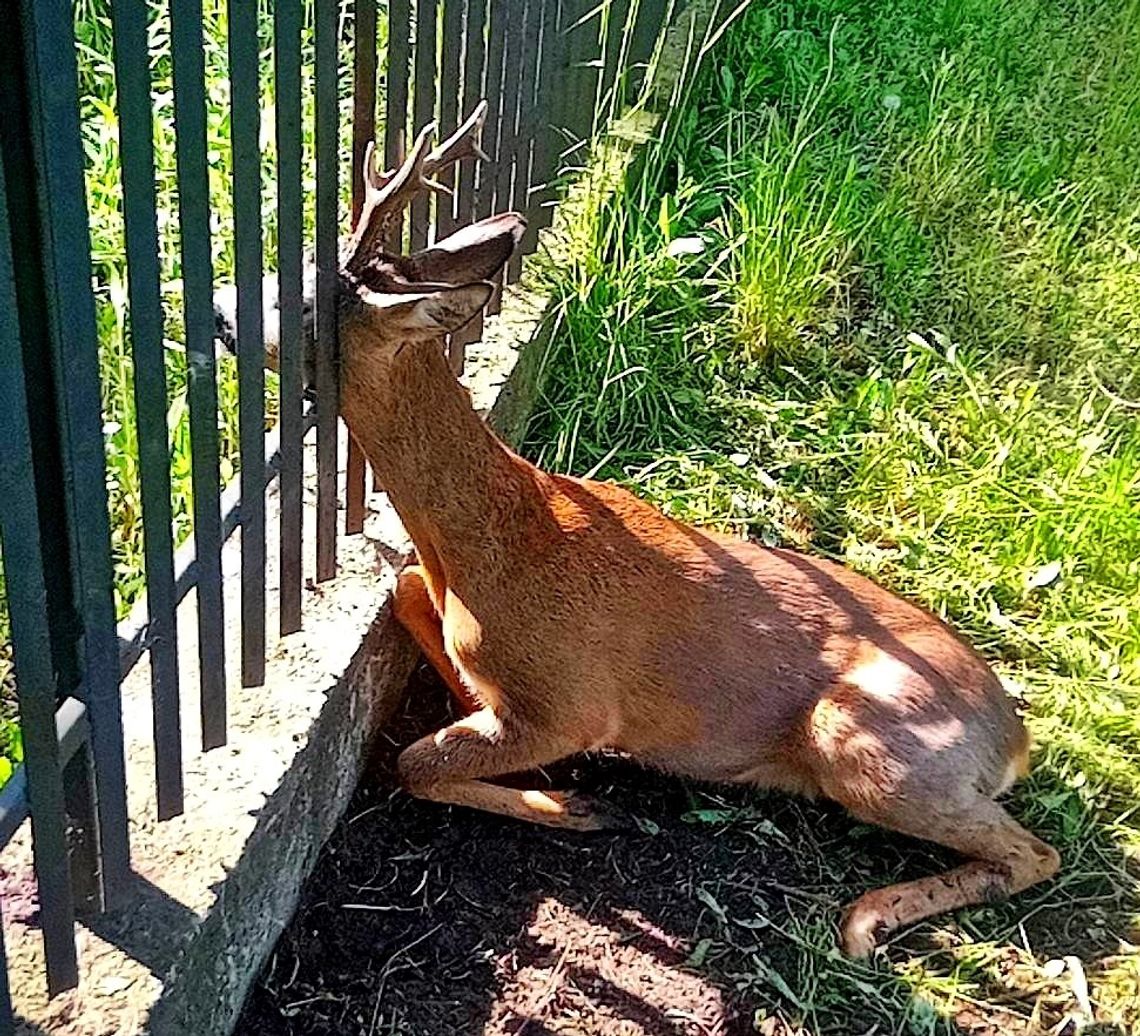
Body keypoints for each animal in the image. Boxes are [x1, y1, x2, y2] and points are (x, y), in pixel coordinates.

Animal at [215, 103, 1057, 952]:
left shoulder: (570, 703)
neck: (494, 540)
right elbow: (408, 590)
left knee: (1033, 852)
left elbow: (416, 764)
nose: (217, 307)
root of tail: (1013, 740)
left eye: (301, 300)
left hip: (869, 744)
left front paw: (582, 805)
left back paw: (866, 918)